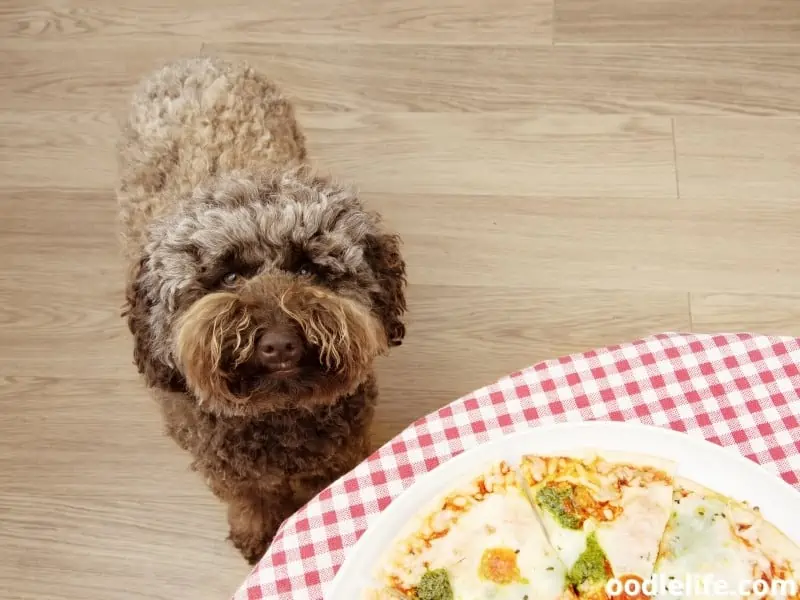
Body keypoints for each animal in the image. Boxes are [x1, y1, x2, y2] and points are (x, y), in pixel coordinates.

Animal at [114, 56, 406, 564]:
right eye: (229, 276)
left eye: (309, 268)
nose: (279, 345)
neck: (278, 416)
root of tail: (196, 60)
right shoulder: (226, 467)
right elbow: (248, 498)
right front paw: (256, 535)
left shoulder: (339, 453)